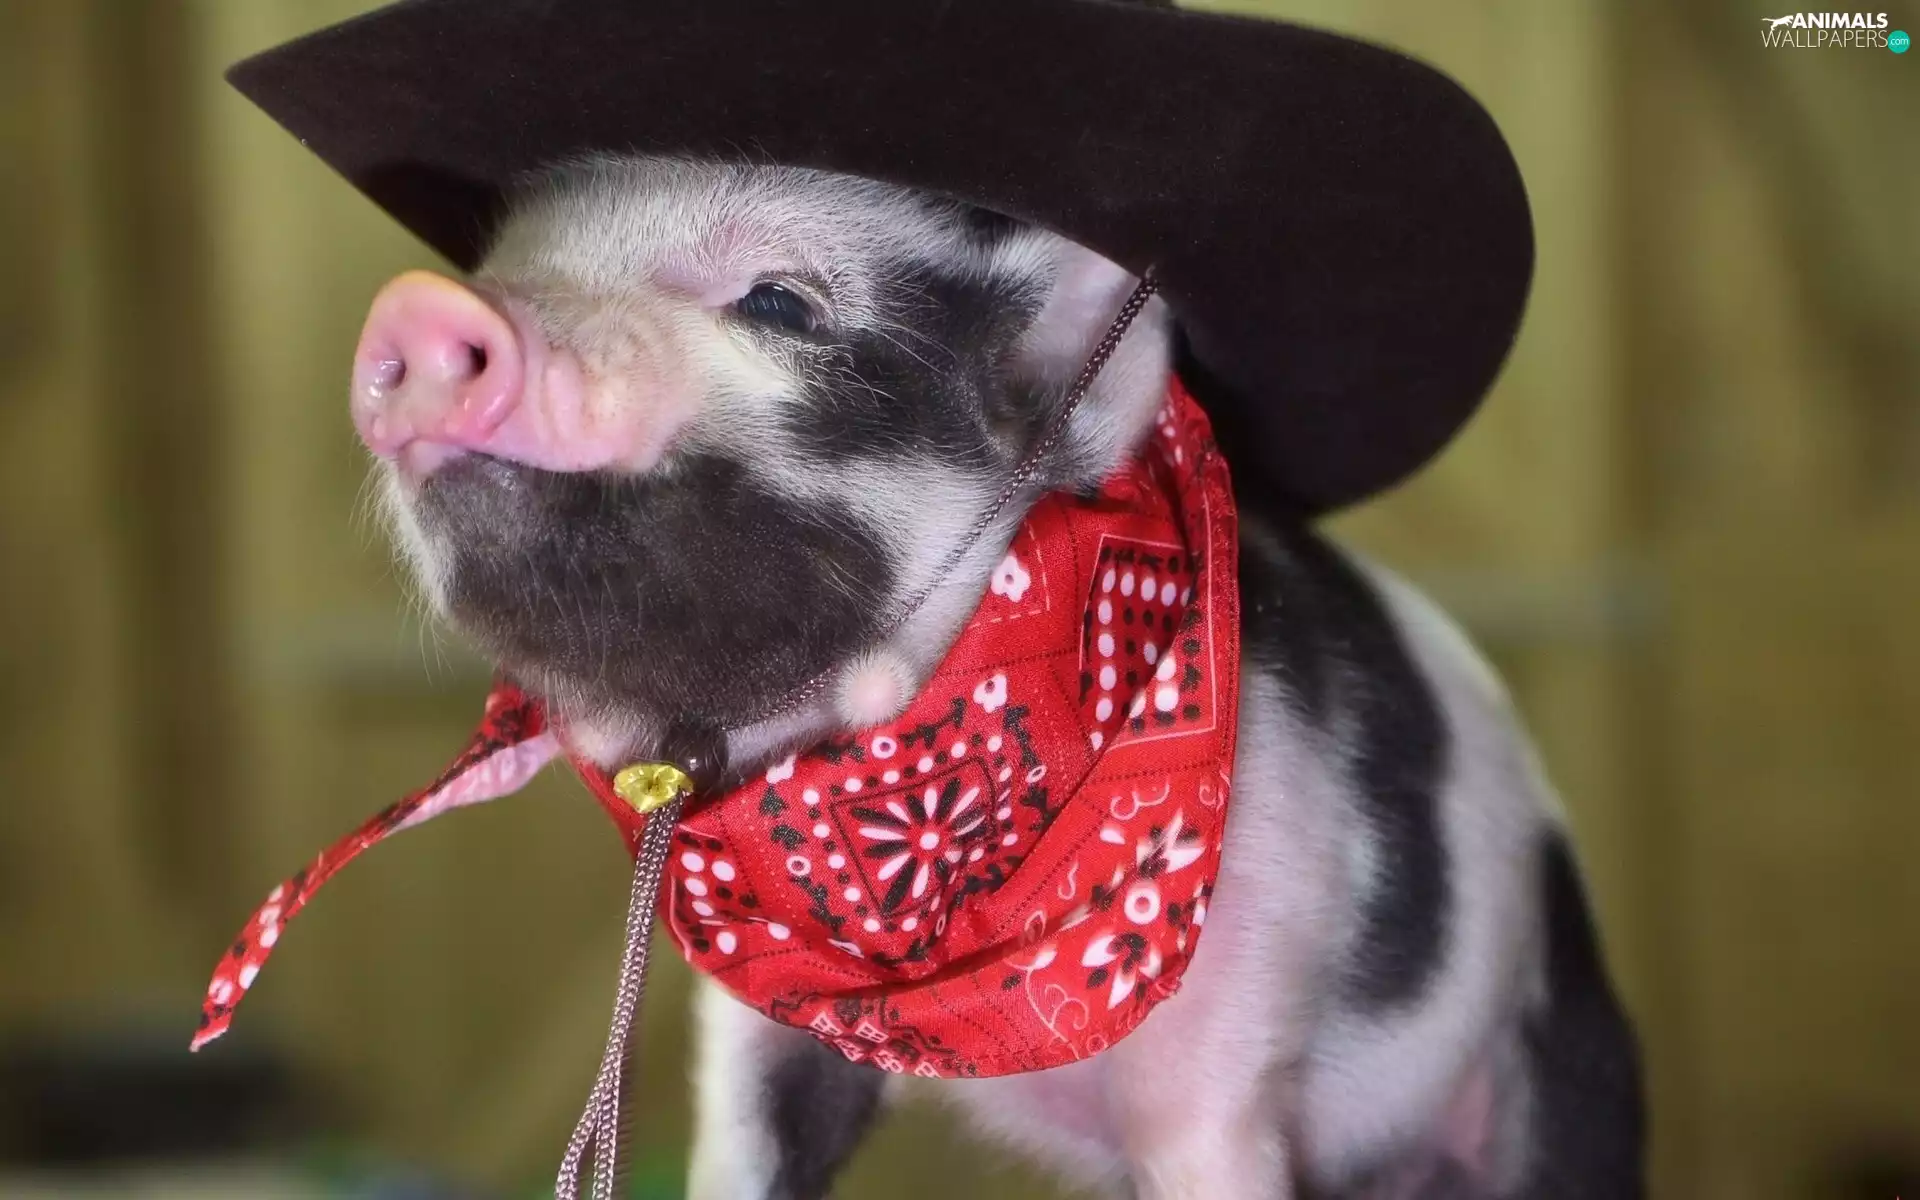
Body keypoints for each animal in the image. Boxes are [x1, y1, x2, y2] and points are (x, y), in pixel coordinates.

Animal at [349, 155, 1644, 1199]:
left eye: (779, 300)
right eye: (499, 264)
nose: (413, 305)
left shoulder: (1239, 1001)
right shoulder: (752, 1024)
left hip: (1560, 1065)